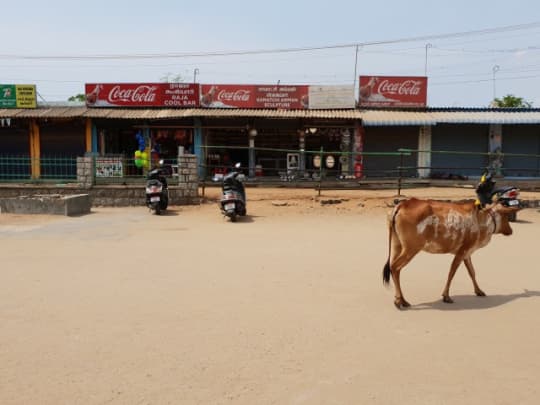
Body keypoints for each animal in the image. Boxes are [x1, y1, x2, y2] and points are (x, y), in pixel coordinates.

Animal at [382, 197, 516, 308]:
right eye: (506, 216)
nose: (511, 230)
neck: (481, 219)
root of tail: (402, 205)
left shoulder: (467, 253)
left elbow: (472, 272)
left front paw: (479, 291)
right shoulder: (462, 251)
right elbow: (452, 273)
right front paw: (446, 296)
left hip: (397, 245)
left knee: (393, 268)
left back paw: (401, 299)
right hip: (411, 249)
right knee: (395, 267)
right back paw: (400, 301)